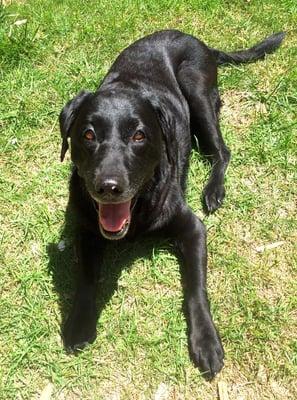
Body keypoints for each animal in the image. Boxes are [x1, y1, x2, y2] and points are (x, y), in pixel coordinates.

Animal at [59, 29, 284, 380]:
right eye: (88, 135)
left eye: (139, 136)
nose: (108, 187)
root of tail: (196, 40)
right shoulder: (85, 229)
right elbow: (85, 277)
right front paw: (79, 323)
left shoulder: (193, 229)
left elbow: (196, 289)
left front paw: (206, 341)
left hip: (197, 91)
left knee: (222, 152)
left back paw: (214, 190)